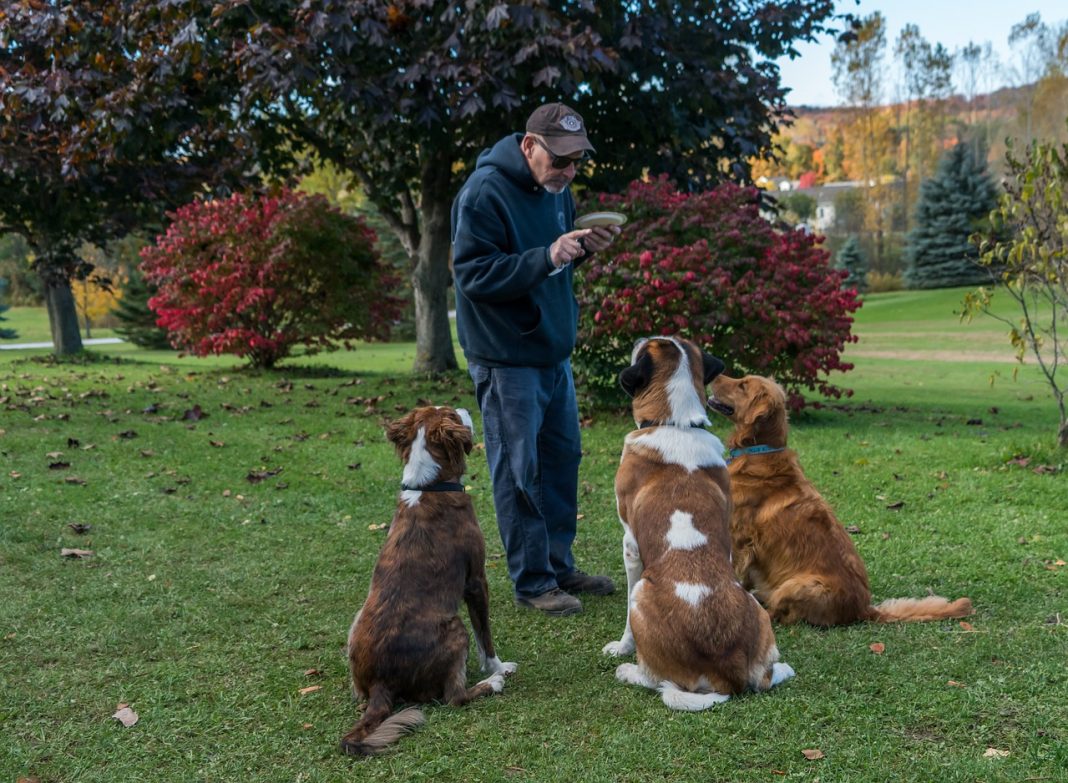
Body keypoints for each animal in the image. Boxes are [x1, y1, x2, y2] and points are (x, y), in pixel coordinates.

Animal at [337, 405, 512, 756]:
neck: (430, 486)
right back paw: (491, 684)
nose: (465, 407)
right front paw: (498, 668)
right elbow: (484, 636)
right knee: (454, 698)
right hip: (455, 629)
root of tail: (380, 682)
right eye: (453, 416)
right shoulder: (476, 580)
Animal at [602, 335, 794, 709]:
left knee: (656, 679)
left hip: (642, 593)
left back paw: (630, 672)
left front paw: (622, 648)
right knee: (764, 676)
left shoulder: (629, 544)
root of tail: (727, 672)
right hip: (758, 610)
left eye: (643, 347)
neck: (676, 423)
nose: (637, 338)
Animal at [709, 376, 978, 628]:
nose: (716, 373)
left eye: (743, 385)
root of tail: (863, 609)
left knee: (783, 614)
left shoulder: (739, 539)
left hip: (797, 585)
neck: (760, 452)